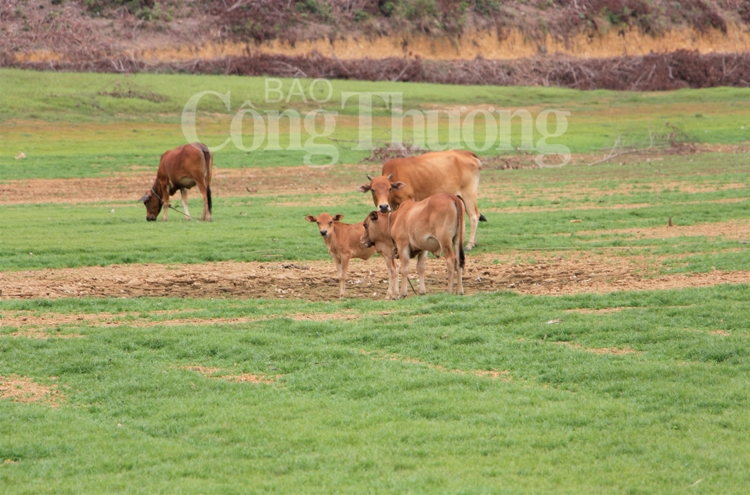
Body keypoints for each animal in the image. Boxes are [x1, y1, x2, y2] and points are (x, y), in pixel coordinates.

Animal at [358, 148, 488, 250]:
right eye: (372, 189)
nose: (383, 206)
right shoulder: (393, 205)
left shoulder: (407, 200)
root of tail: (466, 153)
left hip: (468, 194)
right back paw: (473, 242)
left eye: (389, 188)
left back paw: (469, 245)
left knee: (474, 216)